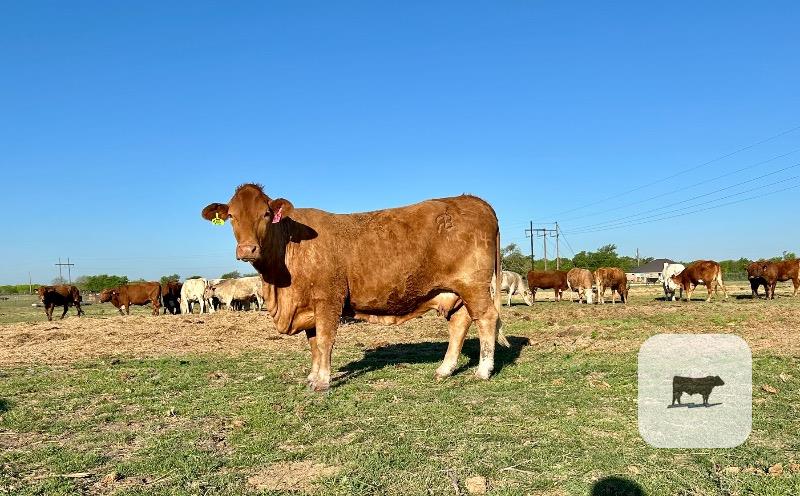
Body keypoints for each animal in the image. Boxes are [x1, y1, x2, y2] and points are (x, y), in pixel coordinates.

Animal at [202, 183, 506, 392]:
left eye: (266, 214)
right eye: (231, 216)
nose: (247, 249)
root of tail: (472, 199)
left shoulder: (328, 300)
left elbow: (325, 341)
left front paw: (322, 382)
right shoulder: (309, 307)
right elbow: (313, 345)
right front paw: (313, 375)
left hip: (473, 285)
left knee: (487, 318)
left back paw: (483, 371)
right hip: (455, 291)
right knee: (460, 323)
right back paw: (445, 369)